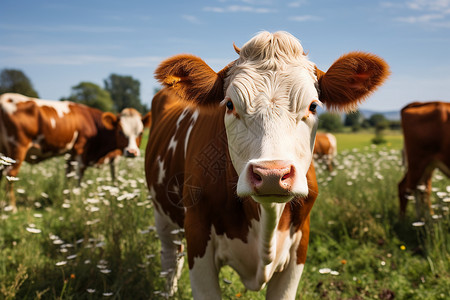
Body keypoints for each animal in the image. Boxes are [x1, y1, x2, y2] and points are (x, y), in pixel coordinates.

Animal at [0, 92, 152, 210]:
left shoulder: (71, 155)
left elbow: (69, 176)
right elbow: (78, 179)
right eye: (120, 131)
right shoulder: (81, 153)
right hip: (17, 148)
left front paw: (67, 199)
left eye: (140, 132)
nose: (132, 152)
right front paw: (77, 201)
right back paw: (12, 208)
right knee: (10, 174)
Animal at [145, 30, 390, 298]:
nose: (272, 174)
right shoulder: (198, 238)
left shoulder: (299, 246)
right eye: (229, 104)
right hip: (162, 214)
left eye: (313, 106)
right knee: (169, 257)